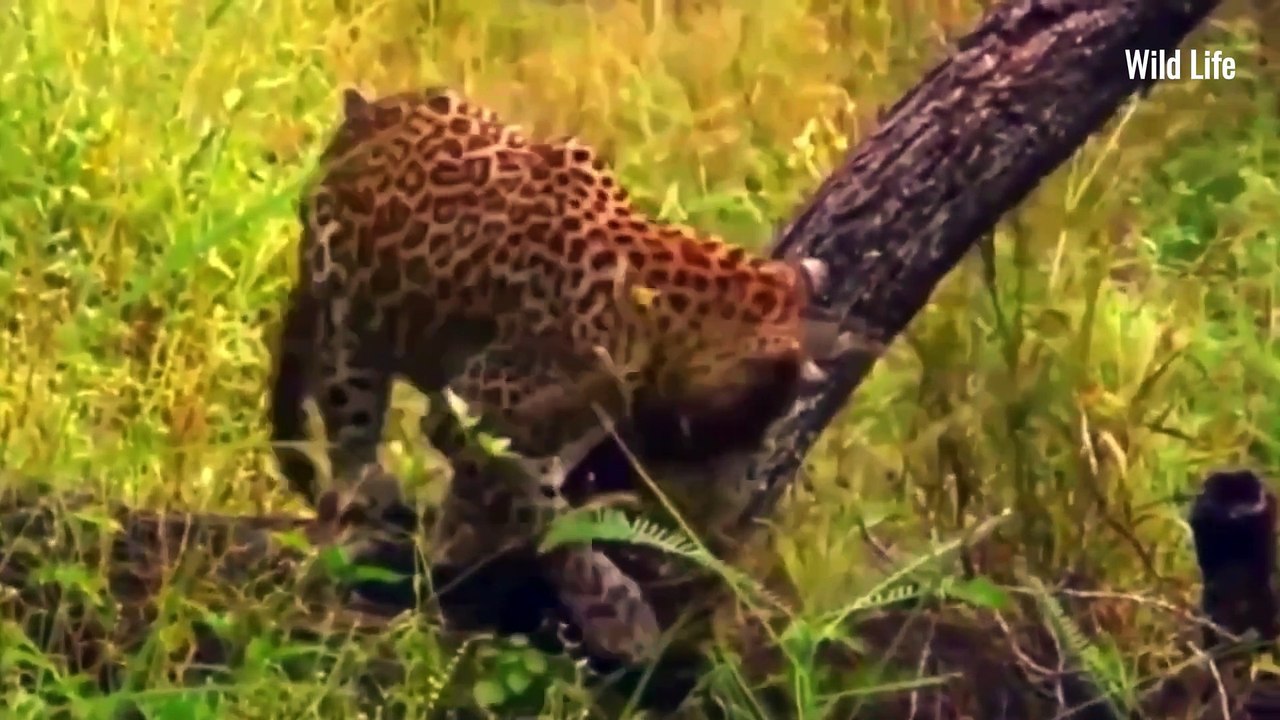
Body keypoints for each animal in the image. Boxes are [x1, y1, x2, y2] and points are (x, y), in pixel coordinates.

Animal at [267, 85, 844, 666]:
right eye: (757, 419)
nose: (738, 492)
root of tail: (359, 112)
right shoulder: (470, 414)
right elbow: (547, 517)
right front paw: (619, 617)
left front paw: (456, 537)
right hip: (349, 320)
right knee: (350, 420)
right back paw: (361, 491)